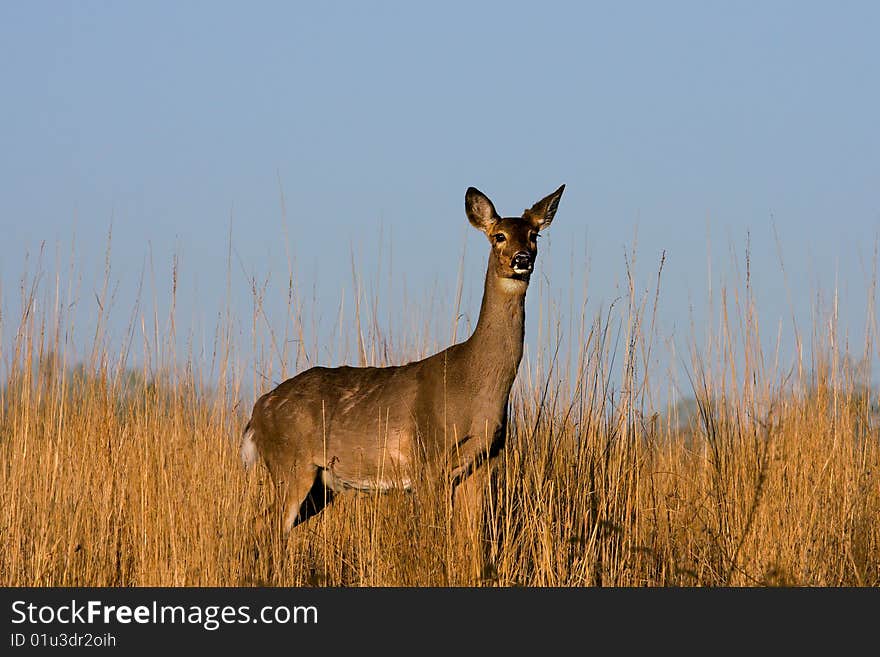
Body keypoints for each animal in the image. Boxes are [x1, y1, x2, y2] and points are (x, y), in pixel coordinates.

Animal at [244, 184, 568, 544]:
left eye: (534, 235)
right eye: (499, 236)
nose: (521, 259)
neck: (472, 383)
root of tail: (257, 412)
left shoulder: (483, 463)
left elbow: (471, 539)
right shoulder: (427, 461)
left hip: (320, 484)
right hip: (291, 463)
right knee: (266, 525)